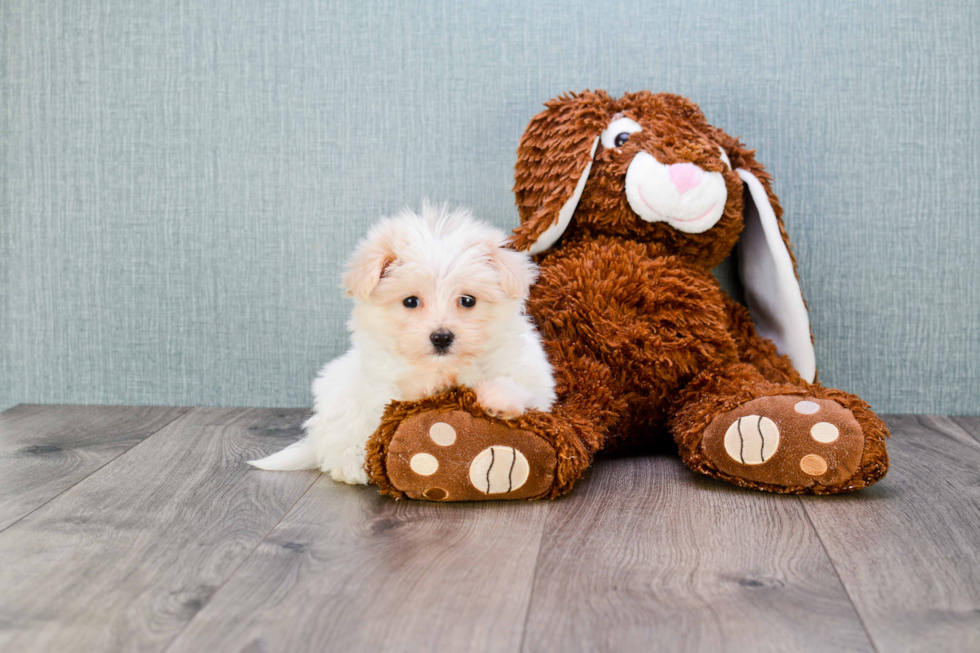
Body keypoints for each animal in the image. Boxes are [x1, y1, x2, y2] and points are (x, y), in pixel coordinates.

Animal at [249, 204, 556, 484]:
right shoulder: (381, 384)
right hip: (338, 398)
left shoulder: (530, 370)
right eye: (410, 301)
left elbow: (517, 384)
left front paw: (498, 401)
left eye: (468, 300)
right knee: (338, 443)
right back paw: (352, 467)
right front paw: (429, 387)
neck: (446, 368)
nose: (441, 336)